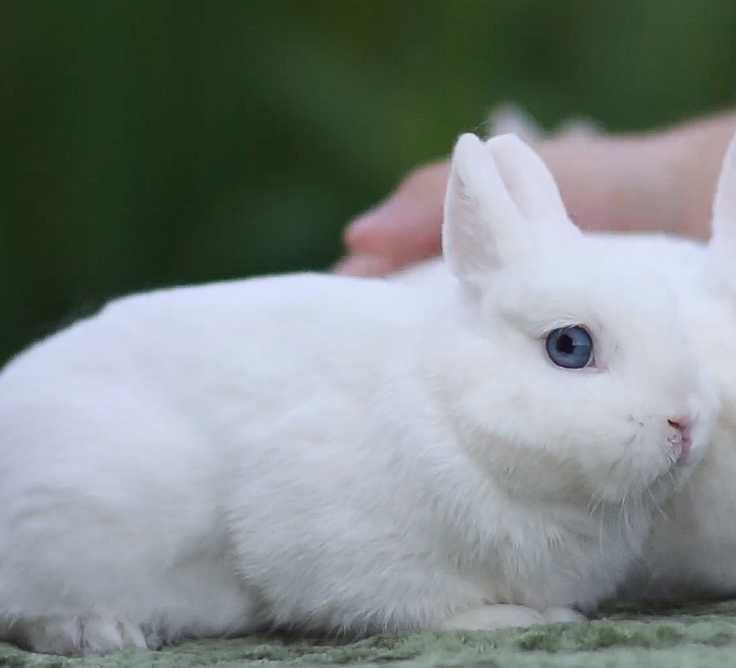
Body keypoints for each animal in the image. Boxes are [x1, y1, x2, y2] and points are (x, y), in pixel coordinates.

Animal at [0, 133, 716, 656]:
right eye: (569, 346)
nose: (684, 425)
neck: (452, 414)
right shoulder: (335, 543)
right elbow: (415, 607)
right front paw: (516, 618)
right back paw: (98, 631)